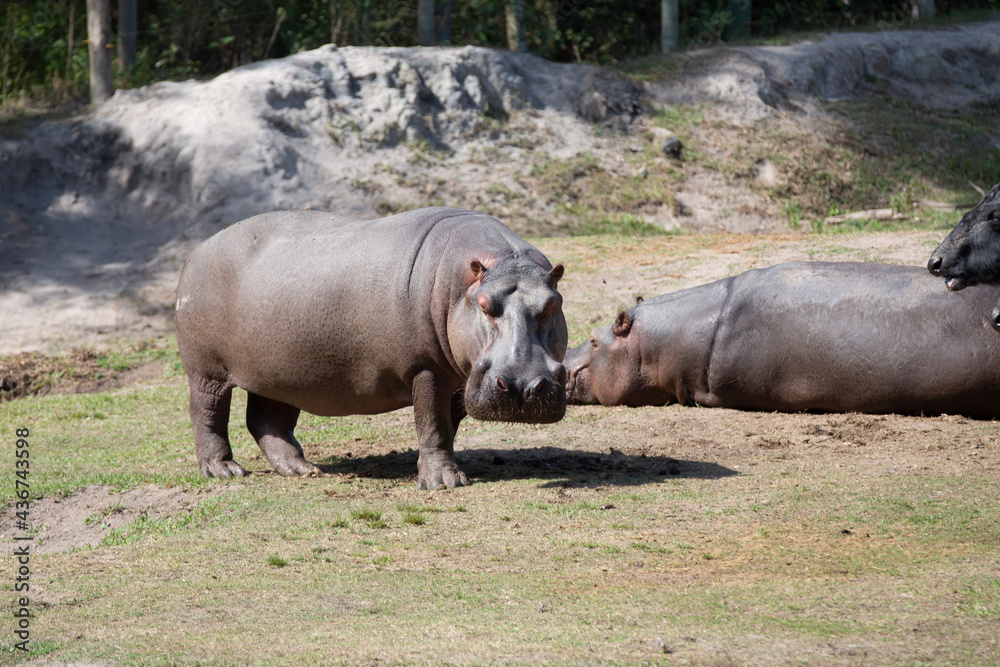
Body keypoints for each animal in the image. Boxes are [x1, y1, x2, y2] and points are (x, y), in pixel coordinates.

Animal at [175, 207, 567, 489]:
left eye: (552, 305)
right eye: (484, 305)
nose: (520, 387)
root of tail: (198, 249)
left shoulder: (459, 377)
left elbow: (445, 425)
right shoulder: (426, 368)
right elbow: (433, 421)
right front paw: (444, 482)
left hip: (279, 372)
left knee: (266, 420)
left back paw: (302, 469)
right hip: (207, 371)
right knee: (208, 414)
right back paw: (225, 471)